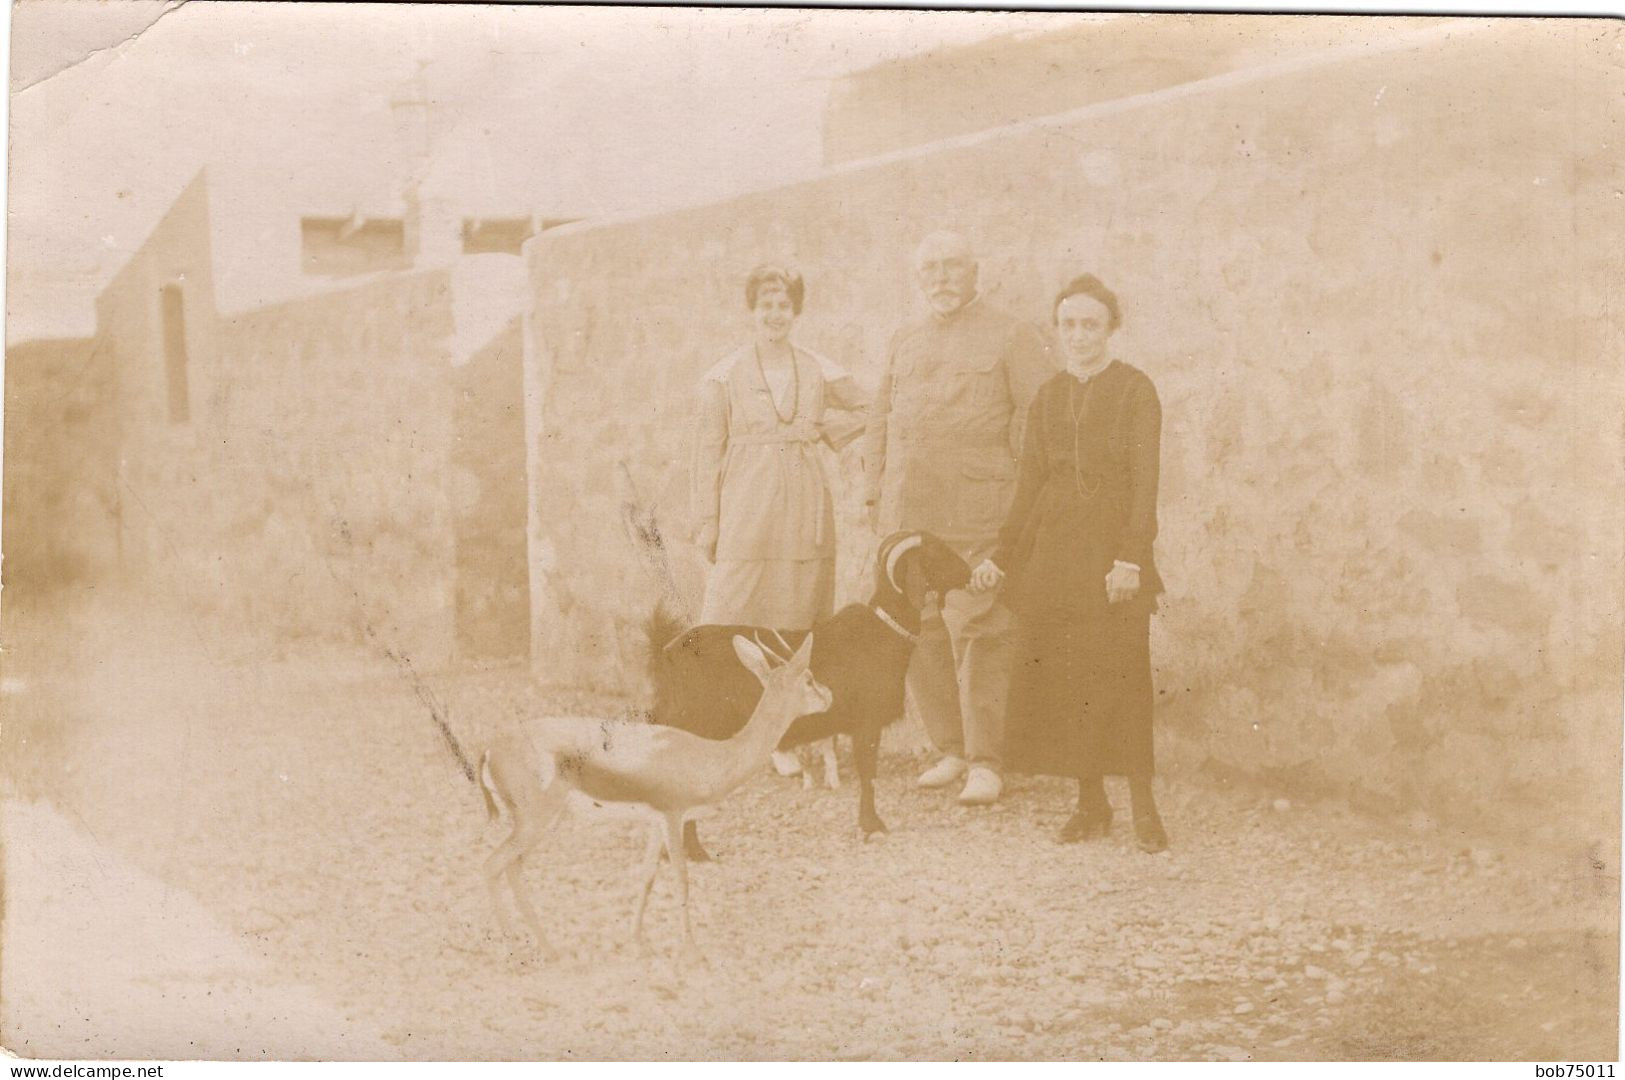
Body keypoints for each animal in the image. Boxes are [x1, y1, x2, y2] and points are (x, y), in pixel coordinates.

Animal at [646, 526, 968, 857]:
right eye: (935, 552)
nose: (968, 572)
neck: (883, 632)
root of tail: (668, 655)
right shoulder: (866, 724)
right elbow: (868, 775)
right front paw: (872, 825)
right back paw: (695, 852)